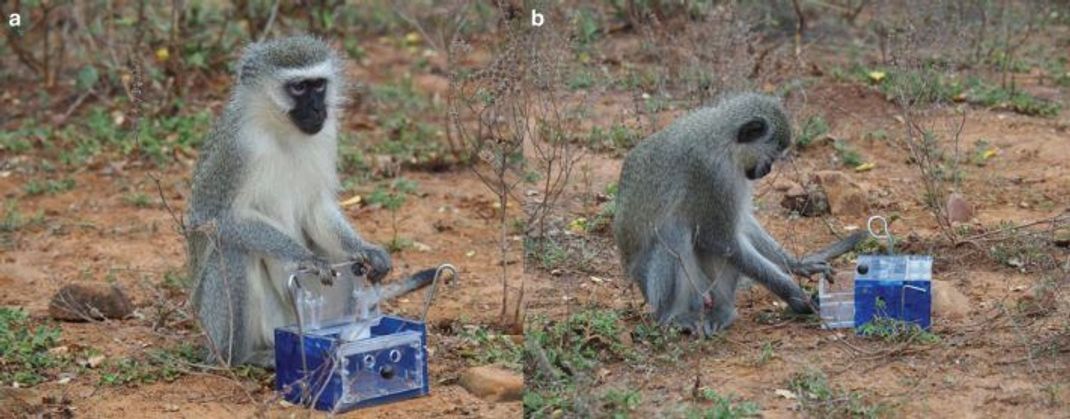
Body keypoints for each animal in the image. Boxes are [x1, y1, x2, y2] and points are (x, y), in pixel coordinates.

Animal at [187, 36, 434, 367]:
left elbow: (316, 208)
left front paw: (366, 249)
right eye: (299, 88)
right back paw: (241, 357)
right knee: (232, 249)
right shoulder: (236, 149)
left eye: (318, 85)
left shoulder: (326, 135)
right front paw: (305, 257)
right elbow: (212, 218)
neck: (281, 130)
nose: (318, 108)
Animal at [612, 93, 868, 335]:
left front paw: (797, 264)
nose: (768, 170)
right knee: (674, 232)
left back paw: (722, 311)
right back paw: (674, 316)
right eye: (773, 155)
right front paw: (796, 295)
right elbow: (724, 241)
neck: (723, 139)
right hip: (657, 288)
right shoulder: (712, 174)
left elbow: (742, 226)